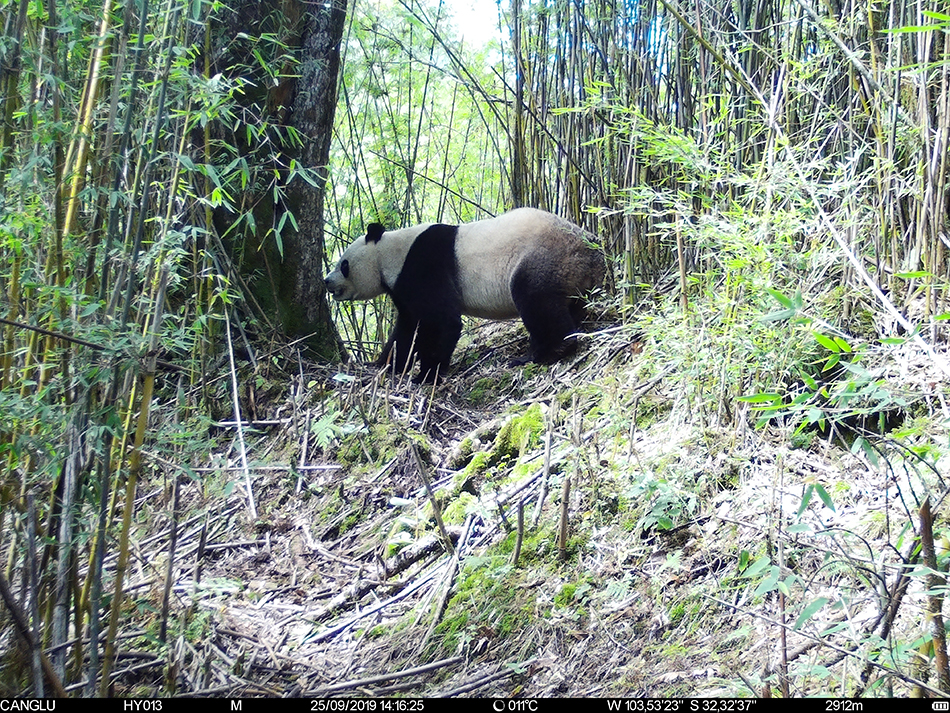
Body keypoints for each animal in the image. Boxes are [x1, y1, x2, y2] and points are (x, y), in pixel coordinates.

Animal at [328, 207, 608, 384]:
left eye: (344, 264)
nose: (327, 281)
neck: (388, 253)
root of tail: (592, 246)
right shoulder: (404, 288)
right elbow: (407, 329)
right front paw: (384, 364)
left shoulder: (424, 266)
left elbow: (443, 322)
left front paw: (425, 375)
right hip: (572, 271)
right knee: (568, 304)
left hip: (543, 255)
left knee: (536, 301)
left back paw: (543, 353)